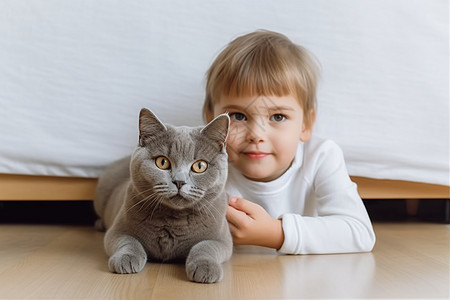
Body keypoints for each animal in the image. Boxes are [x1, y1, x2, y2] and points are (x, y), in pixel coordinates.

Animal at [92, 108, 232, 284]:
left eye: (200, 166)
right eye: (162, 162)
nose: (179, 181)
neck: (174, 219)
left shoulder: (222, 239)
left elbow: (206, 246)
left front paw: (206, 268)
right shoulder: (117, 230)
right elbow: (129, 241)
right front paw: (126, 259)